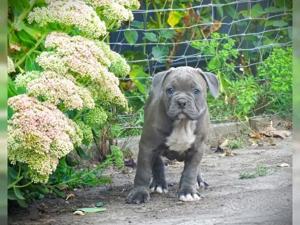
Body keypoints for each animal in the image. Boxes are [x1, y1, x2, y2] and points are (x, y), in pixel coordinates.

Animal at [125, 66, 219, 203]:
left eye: (196, 91)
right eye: (170, 90)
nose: (181, 101)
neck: (182, 123)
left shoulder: (197, 149)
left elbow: (190, 171)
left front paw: (188, 192)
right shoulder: (147, 146)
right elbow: (143, 172)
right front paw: (139, 193)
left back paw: (198, 181)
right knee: (157, 162)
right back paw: (158, 184)